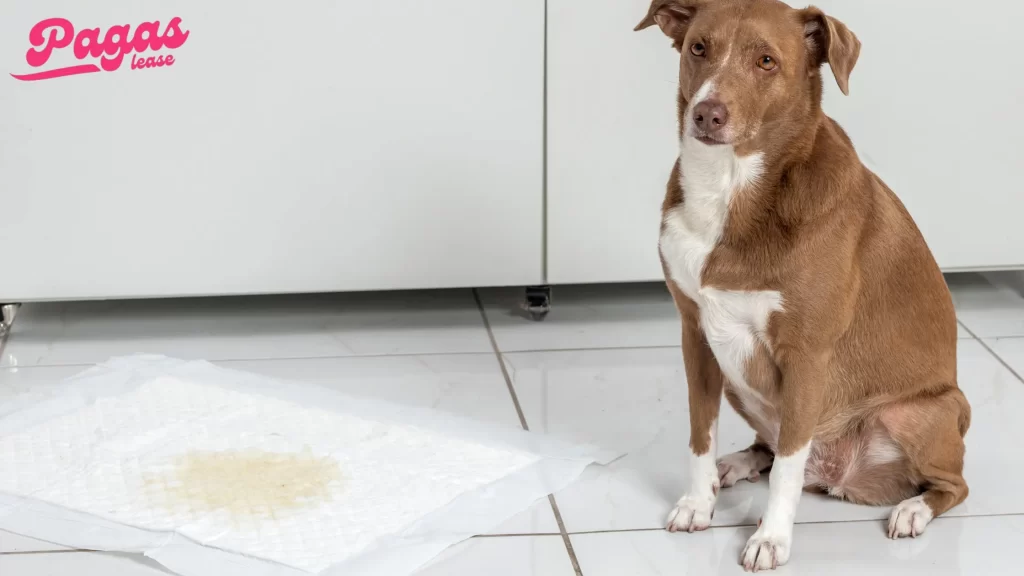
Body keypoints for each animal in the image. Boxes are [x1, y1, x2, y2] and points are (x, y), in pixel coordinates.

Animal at [634, 0, 970, 565]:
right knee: (769, 449)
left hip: (921, 412)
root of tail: (838, 478)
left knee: (953, 485)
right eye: (699, 48)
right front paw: (698, 503)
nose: (707, 114)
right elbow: (700, 435)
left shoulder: (807, 355)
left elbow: (788, 468)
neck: (730, 187)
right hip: (736, 378)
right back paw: (737, 464)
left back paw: (912, 510)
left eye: (767, 61)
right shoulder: (694, 334)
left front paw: (770, 538)